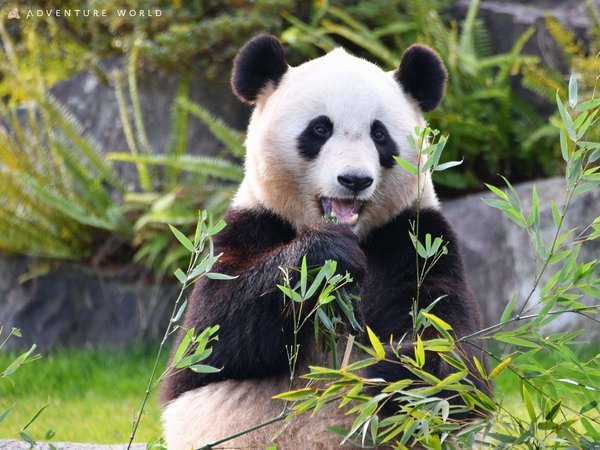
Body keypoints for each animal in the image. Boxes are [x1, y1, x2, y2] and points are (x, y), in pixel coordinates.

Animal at [161, 34, 482, 446]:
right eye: (319, 130)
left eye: (380, 134)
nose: (354, 179)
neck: (355, 234)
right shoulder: (252, 226)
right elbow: (208, 341)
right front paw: (325, 254)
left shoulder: (418, 239)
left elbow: (459, 366)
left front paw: (402, 367)